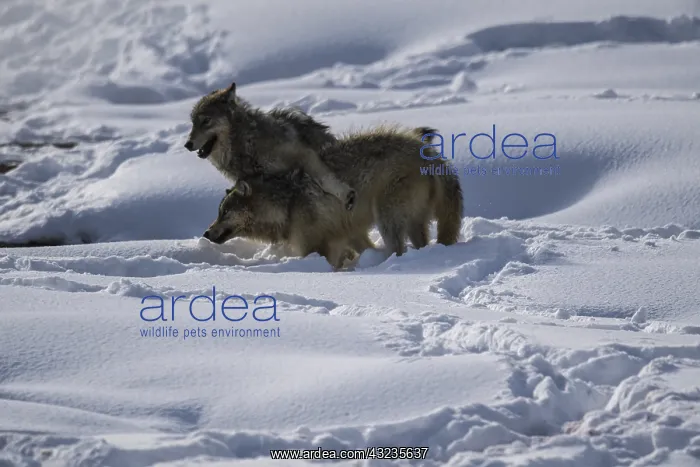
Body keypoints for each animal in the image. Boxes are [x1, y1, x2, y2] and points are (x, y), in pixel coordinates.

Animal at [184, 82, 356, 210]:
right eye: (193, 123)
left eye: (206, 121)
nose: (187, 144)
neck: (246, 144)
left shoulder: (305, 155)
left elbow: (325, 179)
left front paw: (346, 195)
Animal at [203, 126, 463, 267]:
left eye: (224, 212)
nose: (206, 233)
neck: (287, 204)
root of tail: (430, 155)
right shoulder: (350, 233)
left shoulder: (316, 247)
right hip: (411, 222)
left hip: (388, 218)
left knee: (397, 249)